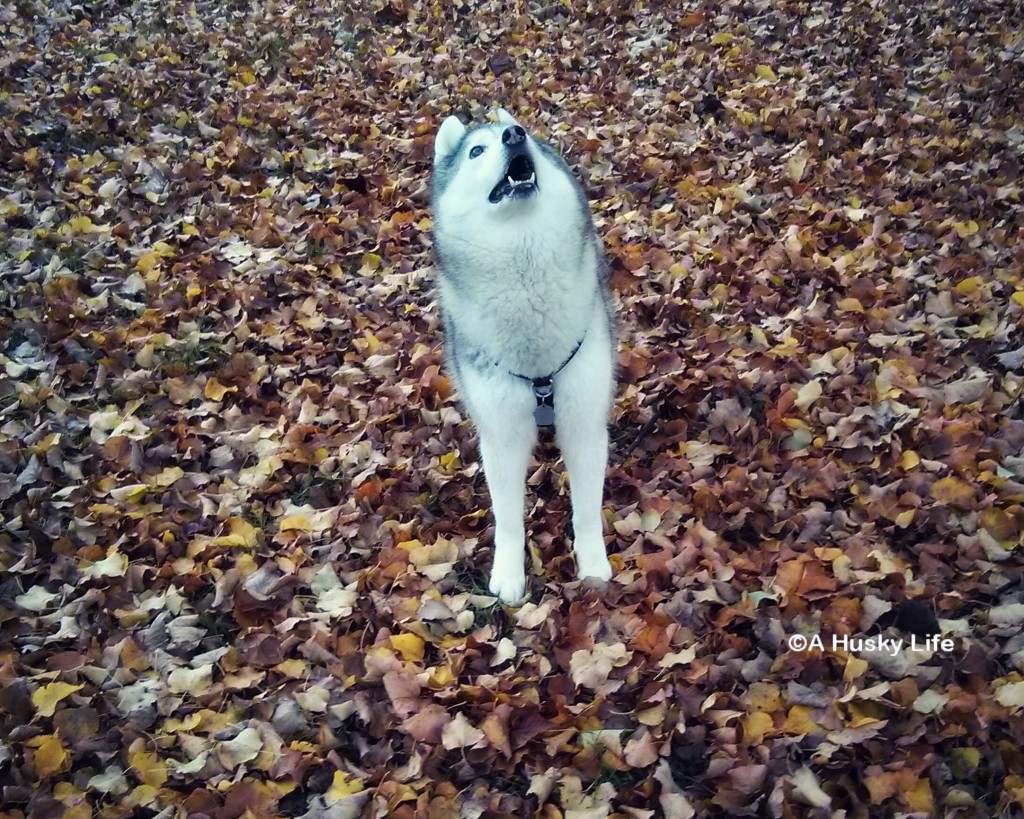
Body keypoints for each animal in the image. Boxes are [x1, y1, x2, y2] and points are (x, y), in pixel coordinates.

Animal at [432, 108, 614, 601]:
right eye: (477, 150)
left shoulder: (584, 424)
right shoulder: (502, 435)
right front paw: (509, 573)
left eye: (524, 134)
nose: (515, 136)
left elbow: (587, 510)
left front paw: (593, 565)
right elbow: (508, 518)